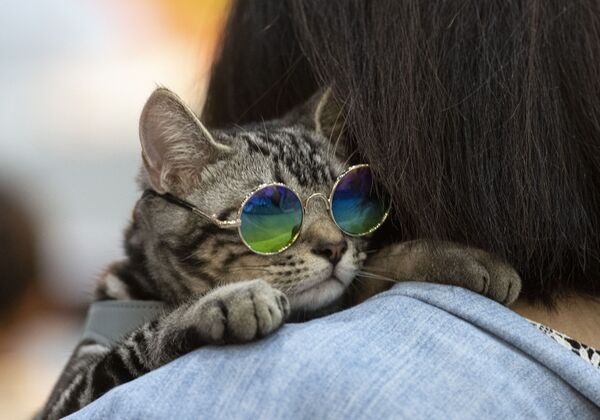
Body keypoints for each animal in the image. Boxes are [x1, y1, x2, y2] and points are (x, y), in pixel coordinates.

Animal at [41, 87, 520, 418]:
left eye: (348, 202)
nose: (334, 247)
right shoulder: (71, 393)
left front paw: (450, 257)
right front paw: (228, 301)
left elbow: (363, 277)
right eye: (271, 212)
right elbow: (139, 343)